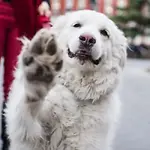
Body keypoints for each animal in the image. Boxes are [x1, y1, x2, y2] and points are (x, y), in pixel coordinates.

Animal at [5, 10, 126, 150]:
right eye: (77, 25)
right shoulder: (29, 134)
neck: (75, 95)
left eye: (104, 32)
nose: (87, 39)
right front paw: (40, 69)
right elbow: (29, 109)